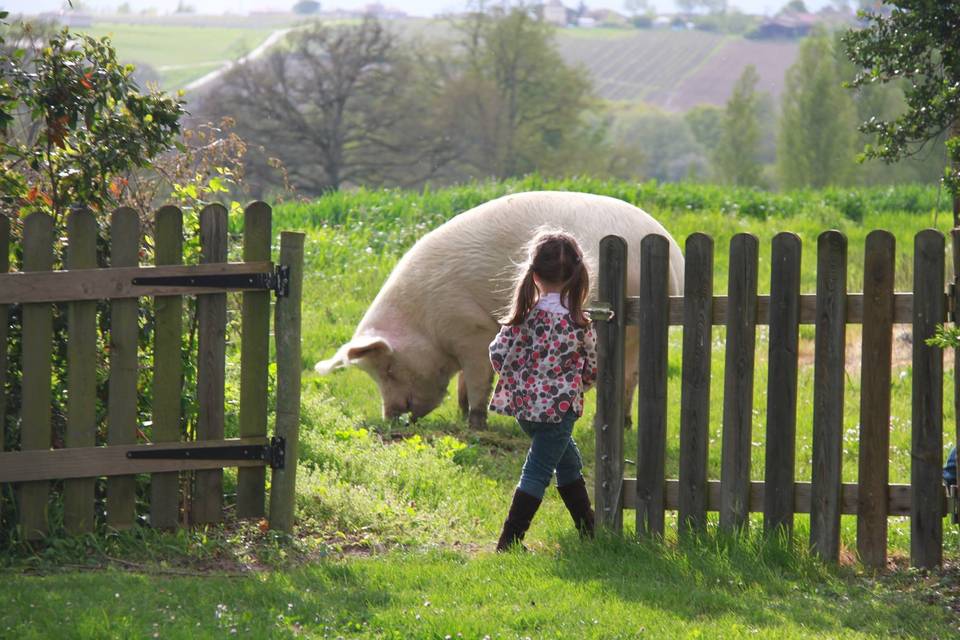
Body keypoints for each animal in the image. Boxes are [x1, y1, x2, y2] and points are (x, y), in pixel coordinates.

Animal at [316, 191, 684, 430]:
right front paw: (461, 413)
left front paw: (475, 425)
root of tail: (670, 258)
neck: (425, 321)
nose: (391, 417)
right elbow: (465, 381)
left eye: (389, 370)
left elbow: (479, 377)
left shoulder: (472, 329)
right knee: (634, 377)